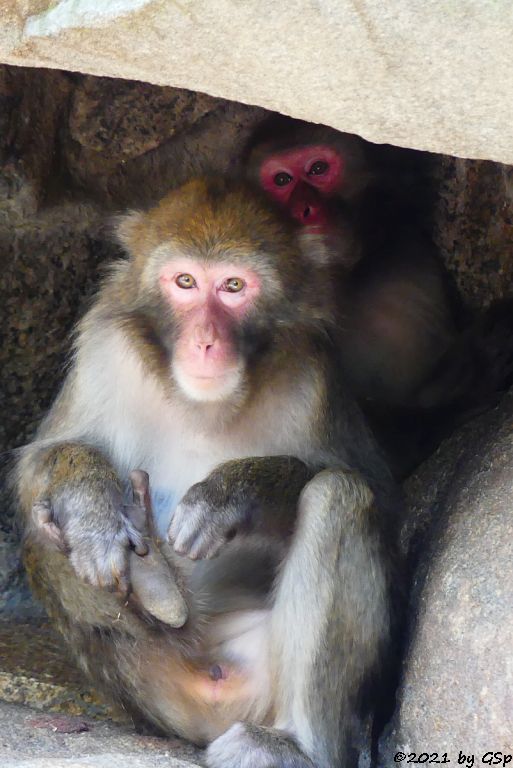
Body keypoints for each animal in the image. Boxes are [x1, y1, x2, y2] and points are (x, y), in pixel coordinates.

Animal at [16, 178, 400, 768]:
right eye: (186, 282)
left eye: (234, 286)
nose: (205, 341)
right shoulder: (105, 350)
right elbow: (43, 458)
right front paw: (91, 511)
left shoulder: (314, 376)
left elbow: (378, 493)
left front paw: (232, 494)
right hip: (146, 689)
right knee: (40, 531)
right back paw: (153, 587)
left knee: (340, 496)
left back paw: (294, 743)